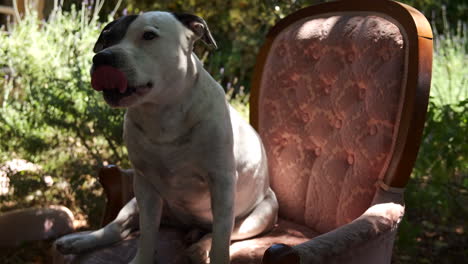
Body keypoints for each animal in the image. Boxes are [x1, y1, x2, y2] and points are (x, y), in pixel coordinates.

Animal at [54, 11, 278, 262]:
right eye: (106, 38)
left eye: (149, 35)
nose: (102, 58)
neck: (162, 113)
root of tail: (187, 225)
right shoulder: (144, 185)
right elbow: (147, 235)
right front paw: (140, 260)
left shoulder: (222, 183)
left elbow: (221, 238)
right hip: (135, 203)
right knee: (117, 228)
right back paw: (78, 241)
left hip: (260, 216)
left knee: (222, 232)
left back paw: (198, 248)